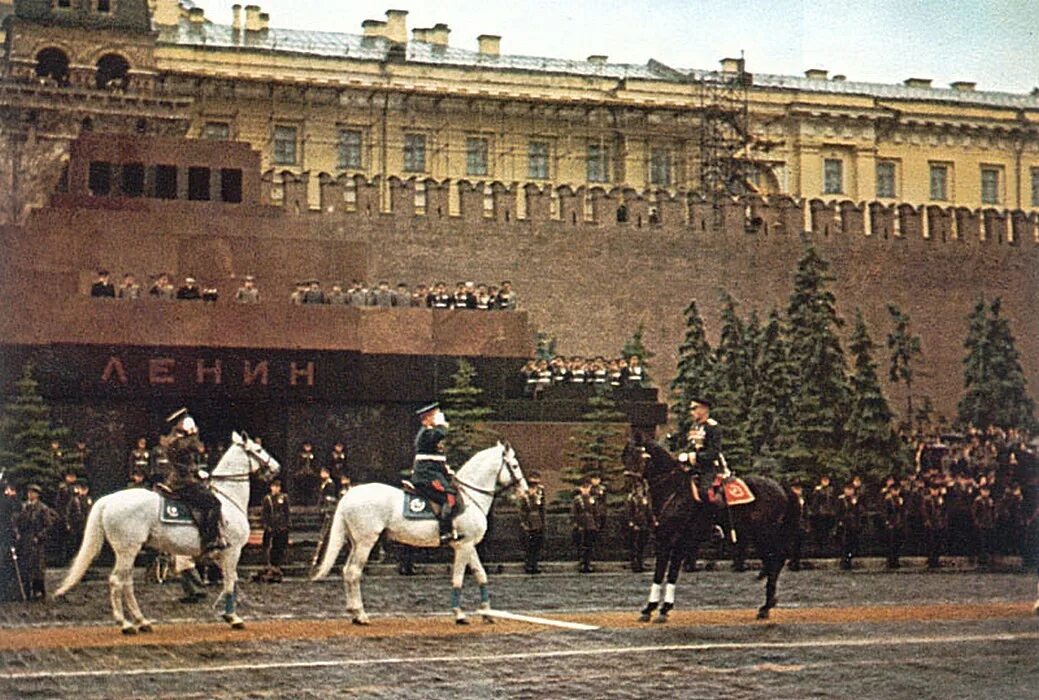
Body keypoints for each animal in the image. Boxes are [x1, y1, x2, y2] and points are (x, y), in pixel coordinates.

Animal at [54, 429, 278, 631]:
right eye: (258, 449)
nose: (276, 467)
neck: (228, 499)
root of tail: (109, 500)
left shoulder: (221, 555)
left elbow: (229, 581)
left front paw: (224, 611)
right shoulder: (233, 551)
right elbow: (231, 581)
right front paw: (233, 617)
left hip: (128, 552)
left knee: (126, 583)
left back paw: (142, 621)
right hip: (128, 550)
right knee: (118, 581)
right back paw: (126, 624)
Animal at [309, 438, 523, 623]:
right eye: (514, 465)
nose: (523, 490)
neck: (470, 498)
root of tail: (349, 495)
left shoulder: (468, 545)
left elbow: (481, 574)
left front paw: (487, 613)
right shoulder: (464, 546)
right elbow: (458, 578)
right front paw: (459, 614)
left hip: (355, 542)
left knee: (347, 571)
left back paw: (354, 613)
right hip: (365, 542)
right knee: (354, 572)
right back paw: (361, 615)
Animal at [619, 429, 797, 623]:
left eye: (638, 456)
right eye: (624, 456)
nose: (633, 493)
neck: (673, 490)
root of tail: (780, 486)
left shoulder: (678, 541)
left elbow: (671, 573)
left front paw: (664, 609)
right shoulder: (663, 540)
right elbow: (659, 574)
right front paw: (649, 609)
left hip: (764, 535)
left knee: (776, 560)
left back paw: (766, 607)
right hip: (758, 537)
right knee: (772, 562)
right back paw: (767, 604)